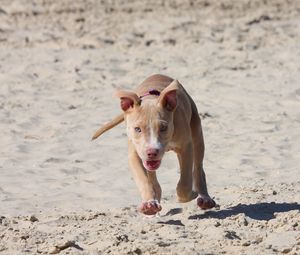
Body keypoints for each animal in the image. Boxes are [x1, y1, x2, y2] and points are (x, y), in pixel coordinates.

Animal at [92, 74, 216, 215]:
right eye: (137, 129)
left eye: (163, 127)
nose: (152, 152)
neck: (150, 99)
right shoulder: (135, 155)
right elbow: (143, 180)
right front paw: (149, 204)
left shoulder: (185, 147)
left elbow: (185, 181)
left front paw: (189, 195)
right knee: (153, 179)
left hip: (197, 133)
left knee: (198, 168)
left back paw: (204, 198)